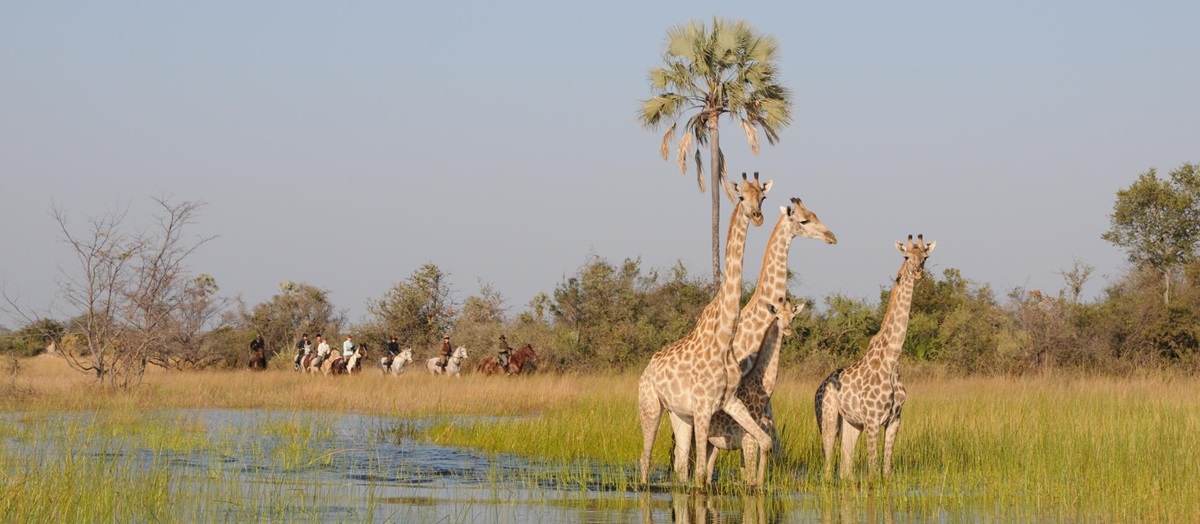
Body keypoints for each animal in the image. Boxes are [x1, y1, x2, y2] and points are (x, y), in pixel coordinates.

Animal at [637, 172, 771, 488]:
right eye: (741, 196)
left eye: (763, 196)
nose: (757, 216)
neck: (724, 340)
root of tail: (646, 369)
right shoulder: (702, 407)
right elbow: (701, 473)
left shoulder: (729, 401)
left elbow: (765, 442)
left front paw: (758, 485)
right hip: (650, 406)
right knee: (646, 459)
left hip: (679, 415)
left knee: (680, 466)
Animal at [705, 296, 803, 483]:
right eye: (777, 317)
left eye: (793, 318)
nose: (787, 330)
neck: (761, 389)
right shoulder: (748, 440)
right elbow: (750, 478)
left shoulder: (752, 442)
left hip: (712, 444)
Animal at [814, 234, 936, 480]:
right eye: (906, 256)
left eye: (925, 257)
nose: (918, 272)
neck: (891, 362)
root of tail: (817, 389)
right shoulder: (872, 420)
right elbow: (872, 469)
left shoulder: (894, 420)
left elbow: (886, 469)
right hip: (828, 419)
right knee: (828, 464)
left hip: (852, 424)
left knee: (846, 468)